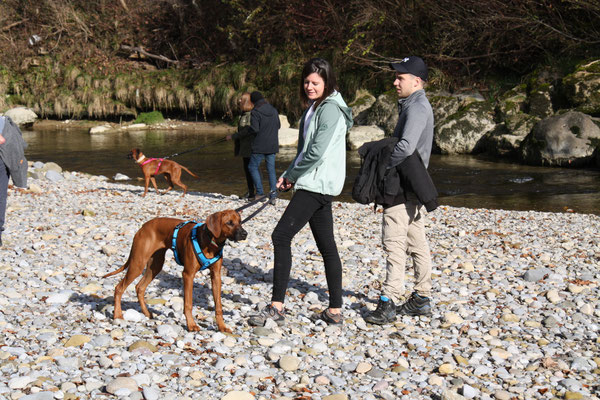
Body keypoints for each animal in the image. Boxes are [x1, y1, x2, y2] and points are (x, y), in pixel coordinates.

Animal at [103, 209, 246, 332]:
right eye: (229, 223)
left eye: (240, 221)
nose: (245, 234)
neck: (210, 241)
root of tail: (144, 226)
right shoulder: (188, 275)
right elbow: (188, 303)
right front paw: (191, 325)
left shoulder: (216, 276)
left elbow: (218, 306)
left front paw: (222, 326)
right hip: (138, 264)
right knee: (119, 288)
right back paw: (117, 315)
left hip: (155, 266)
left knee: (139, 287)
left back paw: (146, 313)